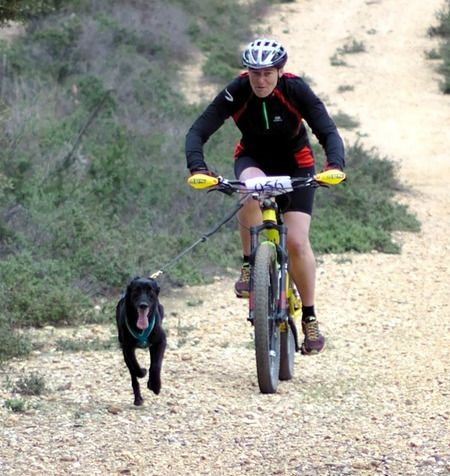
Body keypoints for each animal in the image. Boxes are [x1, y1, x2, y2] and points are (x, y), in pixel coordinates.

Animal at [115, 276, 166, 406]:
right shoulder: (127, 348)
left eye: (150, 291)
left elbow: (156, 365)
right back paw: (137, 398)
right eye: (136, 291)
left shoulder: (160, 342)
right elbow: (135, 366)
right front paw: (142, 371)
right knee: (133, 375)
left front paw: (155, 385)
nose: (143, 305)